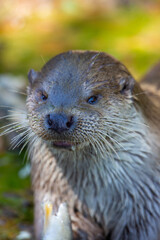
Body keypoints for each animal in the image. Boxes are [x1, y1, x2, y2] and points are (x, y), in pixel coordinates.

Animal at [18, 51, 160, 240]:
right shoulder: (52, 191)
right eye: (43, 95)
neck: (98, 196)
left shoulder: (147, 206)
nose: (58, 119)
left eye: (92, 98)